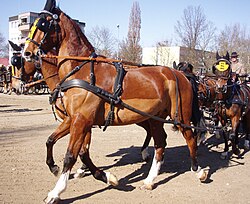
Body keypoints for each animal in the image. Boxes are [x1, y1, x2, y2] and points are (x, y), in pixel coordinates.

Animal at [23, 0, 207, 202]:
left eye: (42, 23)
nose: (27, 53)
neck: (82, 71)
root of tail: (180, 74)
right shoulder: (74, 119)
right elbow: (60, 144)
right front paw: (105, 176)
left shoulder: (81, 120)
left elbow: (71, 155)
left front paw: (56, 191)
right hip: (155, 118)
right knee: (160, 143)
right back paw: (149, 180)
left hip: (180, 117)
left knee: (190, 138)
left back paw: (198, 171)